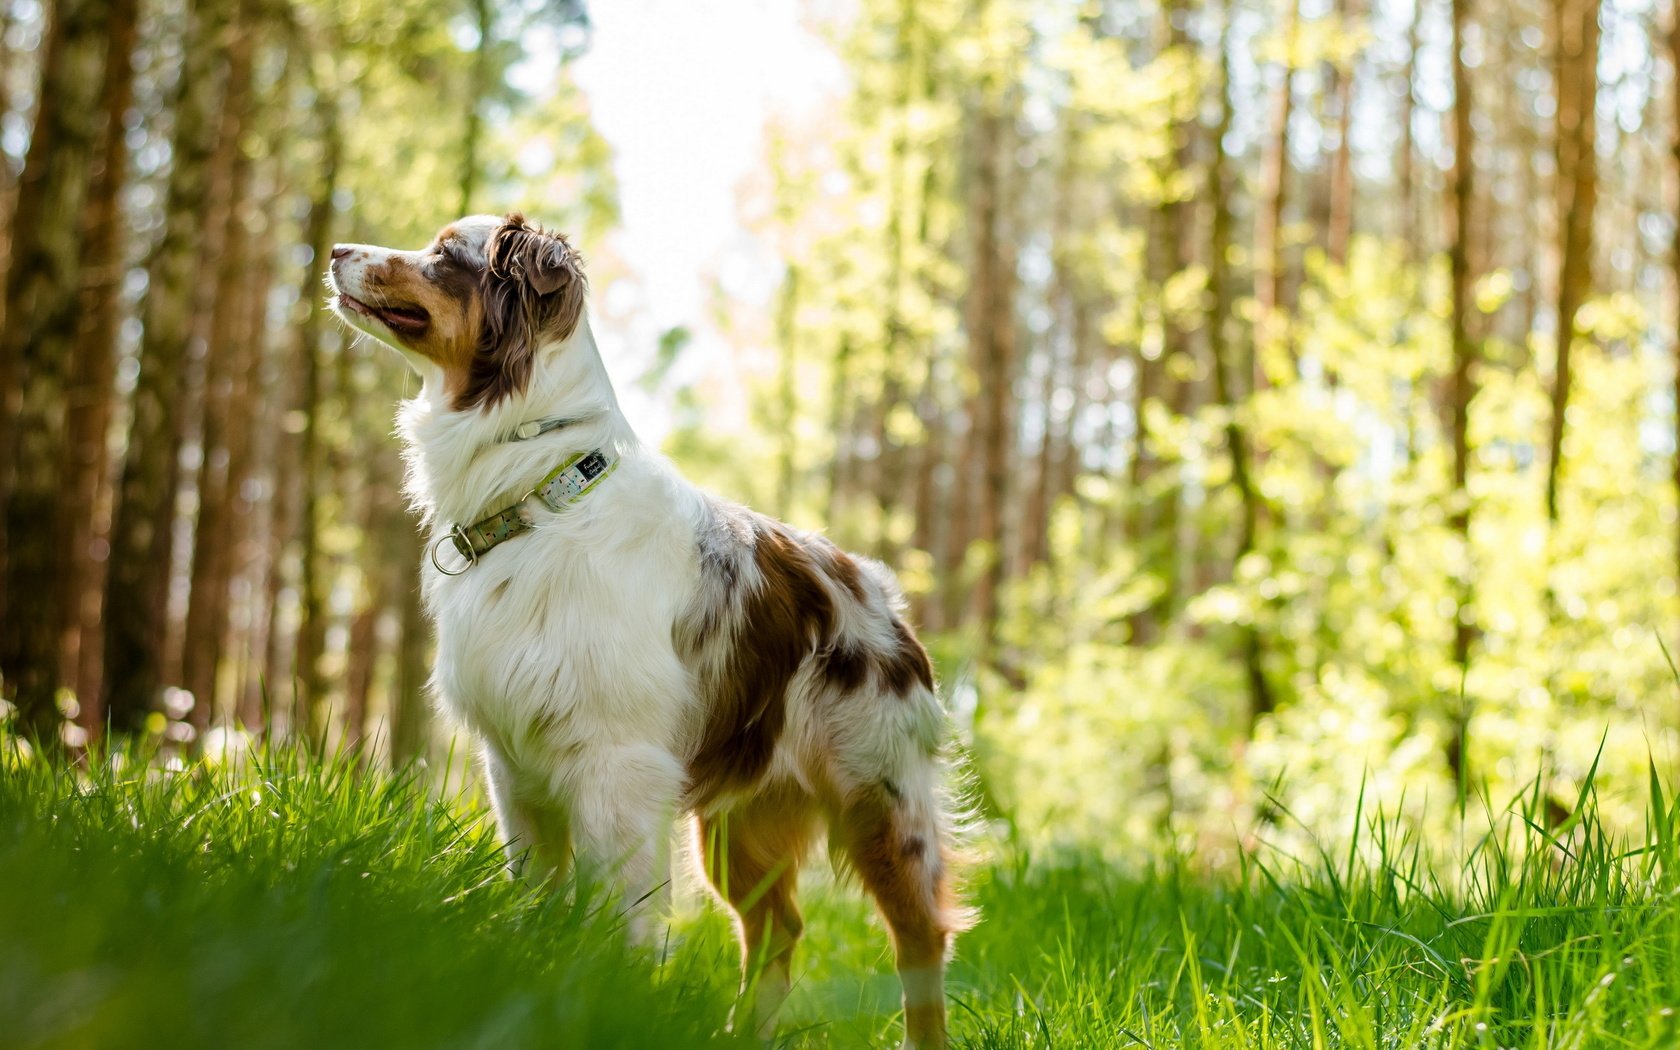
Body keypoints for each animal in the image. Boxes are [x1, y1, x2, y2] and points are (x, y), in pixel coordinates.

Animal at [324, 215, 974, 1048]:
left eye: (443, 254)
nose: (335, 250)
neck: (540, 491)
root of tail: (880, 592)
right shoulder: (515, 768)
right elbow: (536, 901)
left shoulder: (618, 769)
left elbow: (617, 922)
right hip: (738, 825)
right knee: (779, 931)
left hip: (880, 802)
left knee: (920, 937)